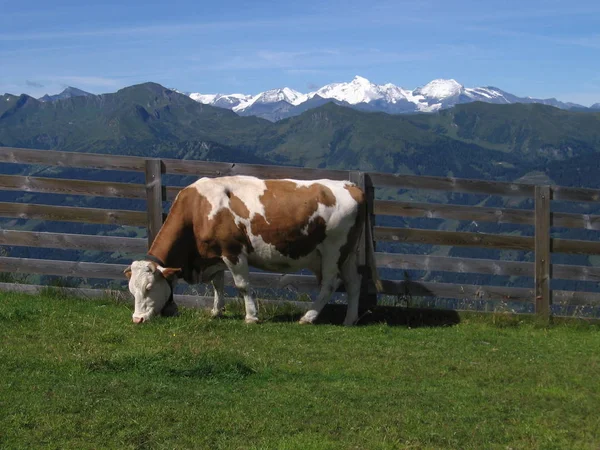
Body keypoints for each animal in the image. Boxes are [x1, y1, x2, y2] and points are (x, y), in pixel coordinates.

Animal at [125, 174, 382, 326]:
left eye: (149, 287)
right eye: (131, 290)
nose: (137, 319)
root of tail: (351, 186)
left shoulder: (233, 251)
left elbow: (242, 286)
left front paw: (251, 316)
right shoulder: (215, 254)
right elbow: (218, 285)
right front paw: (216, 312)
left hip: (332, 250)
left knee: (330, 283)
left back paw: (307, 317)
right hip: (347, 252)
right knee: (353, 282)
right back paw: (350, 320)